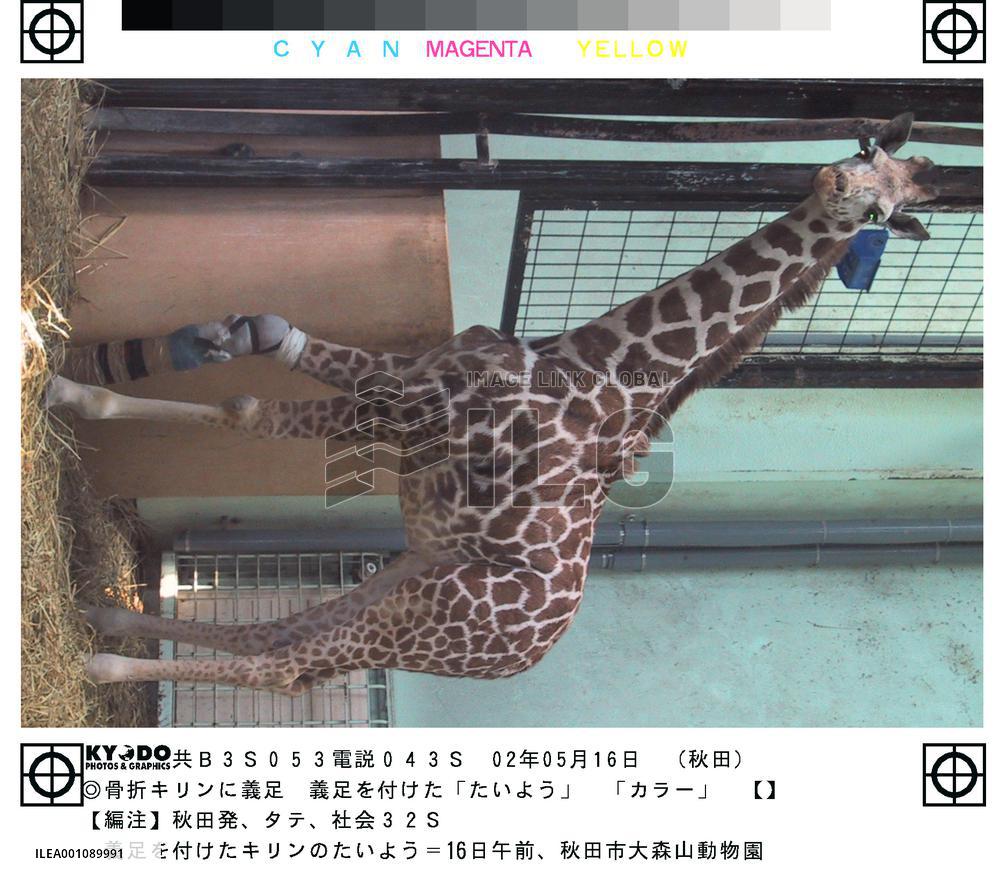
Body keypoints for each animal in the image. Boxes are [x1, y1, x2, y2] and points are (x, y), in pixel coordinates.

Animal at [47, 113, 939, 694]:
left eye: (882, 211)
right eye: (862, 153)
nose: (834, 184)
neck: (588, 364)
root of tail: (521, 658)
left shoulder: (409, 399)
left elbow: (250, 406)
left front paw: (63, 385)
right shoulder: (404, 406)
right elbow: (262, 349)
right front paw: (98, 370)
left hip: (434, 612)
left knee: (289, 661)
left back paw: (101, 661)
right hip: (415, 572)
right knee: (284, 632)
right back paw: (108, 617)